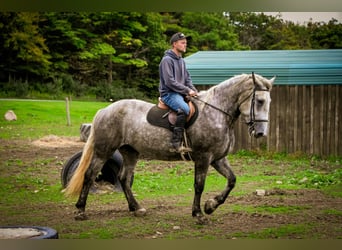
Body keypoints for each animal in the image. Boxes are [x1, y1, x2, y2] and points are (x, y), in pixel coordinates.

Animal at [63, 72, 272, 223]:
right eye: (259, 101)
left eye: (268, 102)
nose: (261, 133)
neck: (216, 113)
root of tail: (105, 110)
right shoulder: (203, 158)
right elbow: (199, 185)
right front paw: (199, 214)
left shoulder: (218, 159)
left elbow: (232, 180)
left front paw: (210, 206)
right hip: (103, 151)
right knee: (90, 175)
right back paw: (80, 211)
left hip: (130, 152)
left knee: (124, 178)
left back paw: (136, 208)